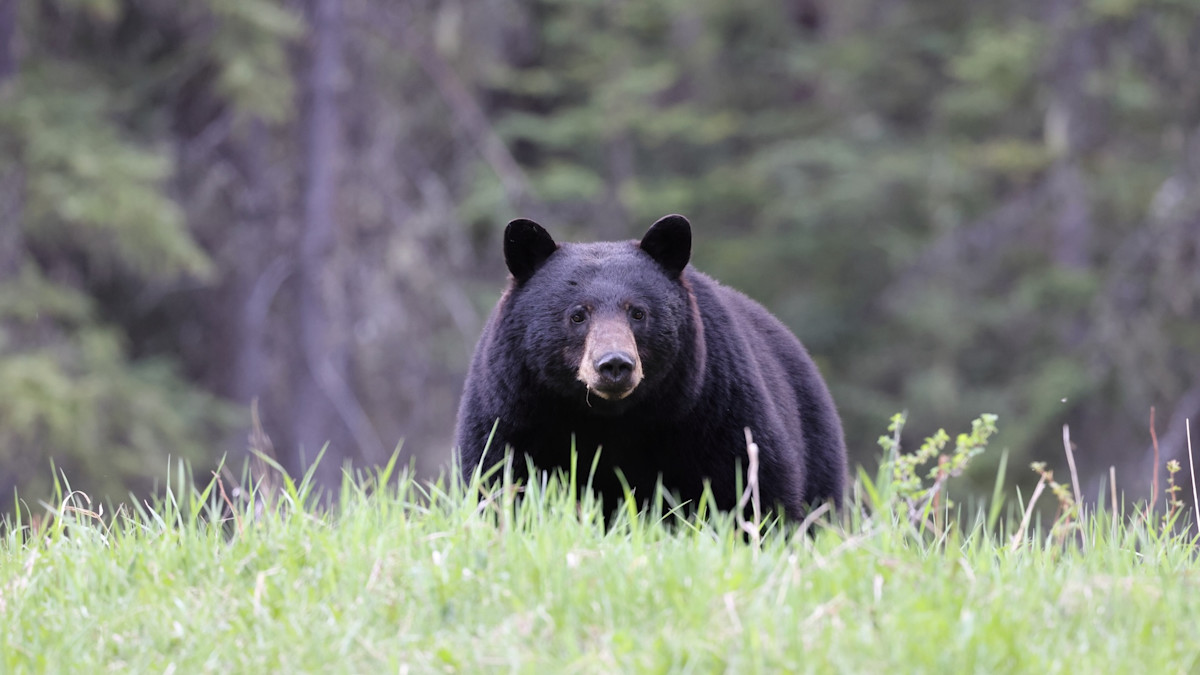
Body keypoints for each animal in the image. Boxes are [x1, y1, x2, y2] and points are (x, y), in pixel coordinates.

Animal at [453, 212, 849, 516]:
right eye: (578, 314)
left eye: (638, 312)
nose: (614, 364)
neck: (609, 419)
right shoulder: (513, 415)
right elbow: (499, 484)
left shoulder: (715, 409)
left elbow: (751, 488)